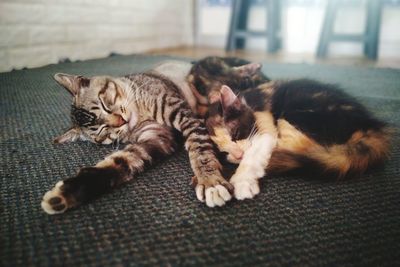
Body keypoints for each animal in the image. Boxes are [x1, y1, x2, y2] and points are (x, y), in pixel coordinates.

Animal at [41, 69, 233, 216]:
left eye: (104, 104)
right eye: (103, 130)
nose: (121, 121)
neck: (139, 113)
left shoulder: (186, 117)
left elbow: (199, 148)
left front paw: (210, 181)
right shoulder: (155, 139)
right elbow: (117, 163)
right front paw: (66, 194)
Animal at [188, 56, 390, 201]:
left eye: (235, 134)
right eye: (222, 151)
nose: (237, 154)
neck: (247, 99)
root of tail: (369, 125)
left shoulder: (265, 124)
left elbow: (257, 148)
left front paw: (242, 182)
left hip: (298, 114)